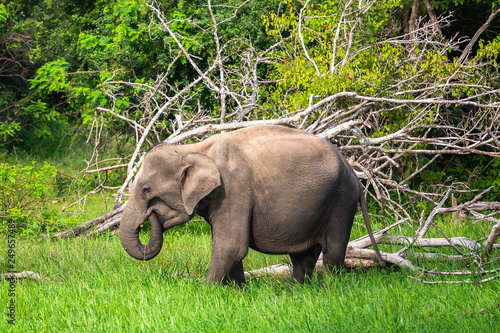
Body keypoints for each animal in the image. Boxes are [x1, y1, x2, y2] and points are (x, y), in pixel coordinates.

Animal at [119, 124, 384, 286]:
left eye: (146, 190)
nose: (151, 217)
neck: (194, 149)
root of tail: (353, 171)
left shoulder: (233, 189)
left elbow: (231, 245)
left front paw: (204, 291)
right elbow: (229, 246)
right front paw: (239, 293)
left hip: (342, 201)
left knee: (333, 252)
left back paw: (328, 291)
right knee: (303, 257)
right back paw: (297, 292)